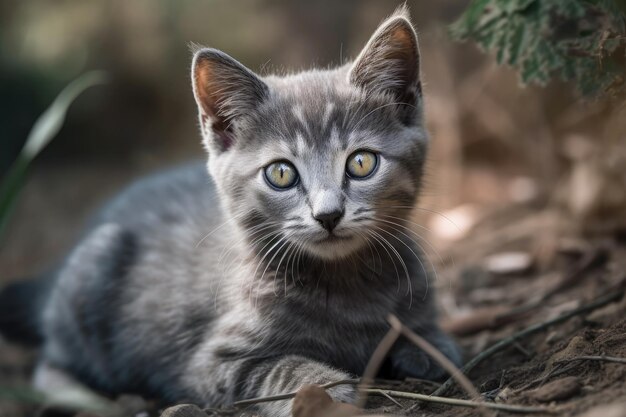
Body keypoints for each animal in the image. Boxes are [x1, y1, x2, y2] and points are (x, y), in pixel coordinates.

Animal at [0, 6, 458, 416]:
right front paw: (329, 387)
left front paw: (429, 349)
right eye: (281, 173)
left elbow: (432, 339)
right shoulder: (208, 364)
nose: (328, 215)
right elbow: (278, 371)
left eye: (361, 163)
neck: (345, 285)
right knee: (50, 363)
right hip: (92, 269)